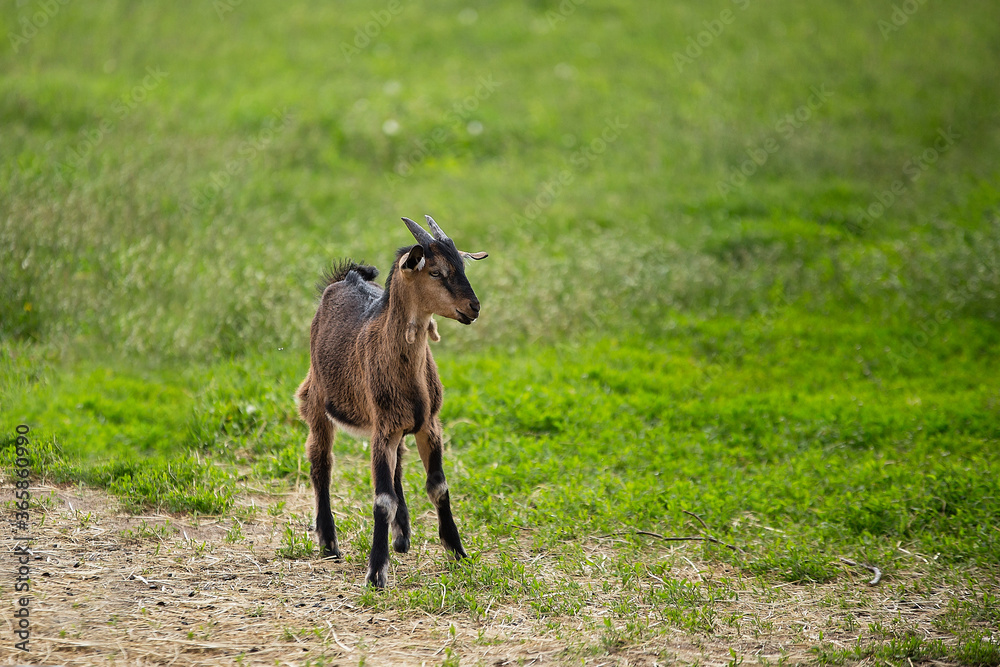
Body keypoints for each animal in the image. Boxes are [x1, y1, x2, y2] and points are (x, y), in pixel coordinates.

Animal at [294, 217, 486, 588]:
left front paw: (458, 551)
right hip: (316, 402)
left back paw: (402, 536)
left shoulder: (429, 424)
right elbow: (383, 500)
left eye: (462, 265)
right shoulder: (382, 426)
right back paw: (329, 544)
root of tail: (346, 278)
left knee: (398, 464)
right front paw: (376, 572)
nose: (474, 307)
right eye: (436, 272)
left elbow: (438, 487)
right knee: (320, 463)